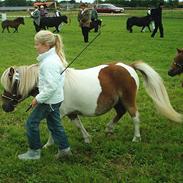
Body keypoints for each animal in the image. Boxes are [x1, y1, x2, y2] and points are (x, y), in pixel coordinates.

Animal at [0, 62, 182, 147]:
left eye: (11, 84)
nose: (5, 107)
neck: (52, 84)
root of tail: (128, 66)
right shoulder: (71, 113)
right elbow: (78, 125)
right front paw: (87, 139)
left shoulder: (57, 113)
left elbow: (53, 129)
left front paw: (47, 145)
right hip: (117, 101)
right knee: (120, 112)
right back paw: (109, 129)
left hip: (128, 99)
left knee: (135, 116)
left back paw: (136, 138)